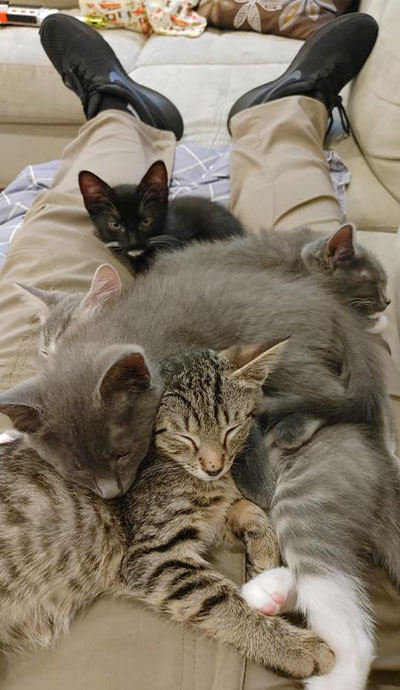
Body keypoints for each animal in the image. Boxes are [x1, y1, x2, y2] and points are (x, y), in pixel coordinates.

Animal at [0, 342, 334, 676]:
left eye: (231, 429)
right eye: (185, 436)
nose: (214, 466)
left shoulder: (205, 521)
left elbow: (244, 507)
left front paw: (263, 552)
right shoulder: (154, 555)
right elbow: (217, 600)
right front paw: (295, 647)